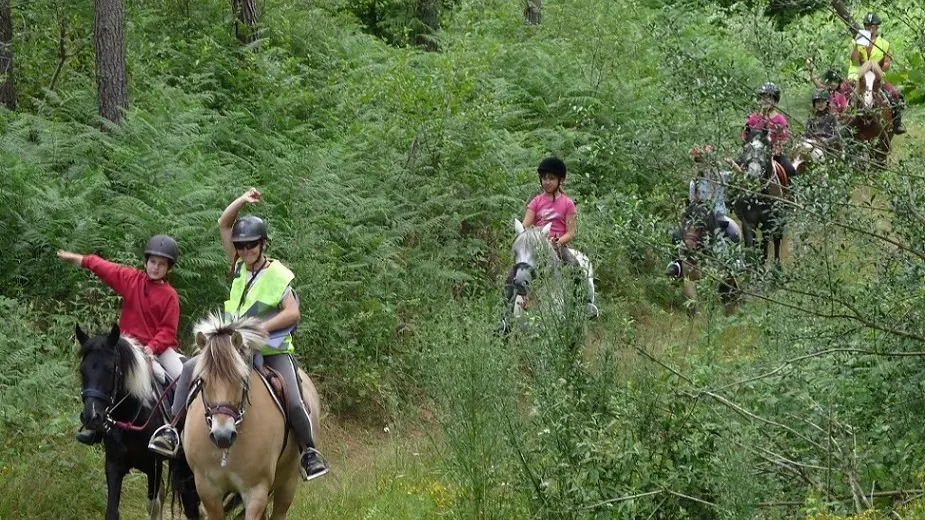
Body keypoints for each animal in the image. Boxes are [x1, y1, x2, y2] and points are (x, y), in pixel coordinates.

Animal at [76, 322, 200, 516]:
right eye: (83, 370)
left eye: (110, 370)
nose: (91, 417)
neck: (130, 418)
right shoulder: (113, 465)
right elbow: (112, 511)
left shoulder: (153, 467)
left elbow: (154, 506)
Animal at [177, 314, 322, 516]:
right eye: (202, 381)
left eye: (241, 379)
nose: (223, 435)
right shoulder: (207, 491)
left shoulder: (256, 491)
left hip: (287, 483)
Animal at [732, 128, 784, 270]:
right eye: (745, 149)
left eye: (767, 149)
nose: (753, 175)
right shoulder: (748, 223)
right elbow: (751, 246)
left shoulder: (768, 224)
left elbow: (764, 247)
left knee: (777, 240)